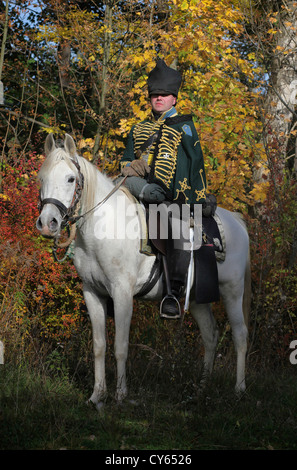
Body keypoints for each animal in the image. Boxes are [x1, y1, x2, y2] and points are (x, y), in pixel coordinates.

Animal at [36, 133, 250, 408]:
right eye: (42, 178)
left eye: (71, 179)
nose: (47, 223)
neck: (103, 227)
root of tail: (237, 221)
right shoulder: (92, 293)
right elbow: (99, 346)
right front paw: (97, 395)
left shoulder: (122, 294)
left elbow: (120, 346)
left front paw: (120, 396)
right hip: (198, 297)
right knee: (210, 335)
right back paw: (201, 389)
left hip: (233, 291)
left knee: (240, 335)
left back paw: (239, 390)